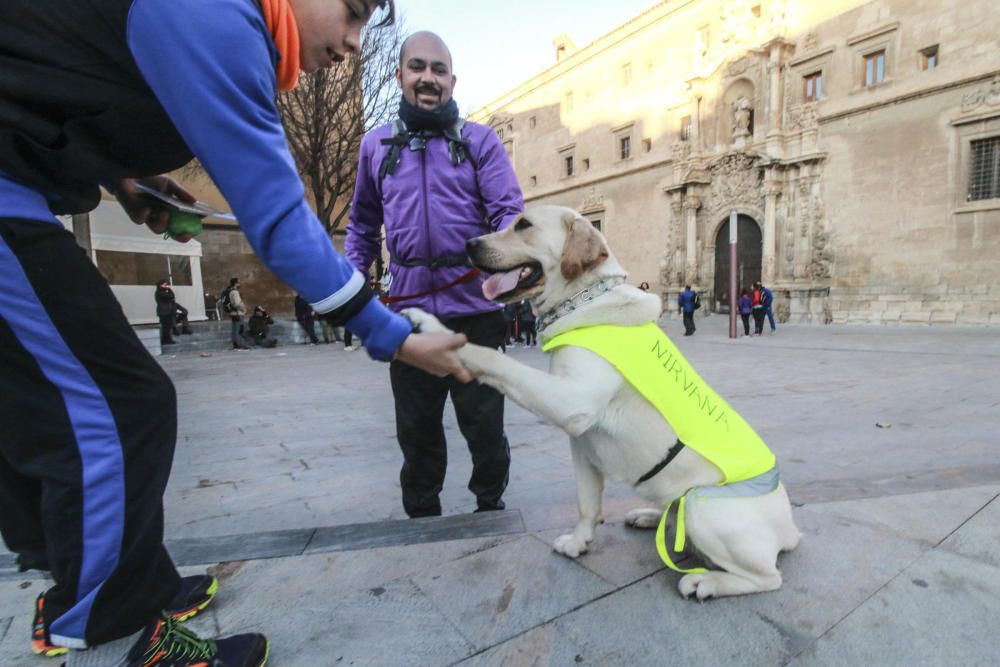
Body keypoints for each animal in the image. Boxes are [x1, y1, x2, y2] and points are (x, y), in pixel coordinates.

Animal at [402, 205, 800, 600]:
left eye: (524, 225)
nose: (468, 244)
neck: (585, 299)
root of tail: (791, 531)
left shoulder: (569, 403)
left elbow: (492, 358)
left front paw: (444, 338)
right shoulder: (582, 443)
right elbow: (587, 503)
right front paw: (578, 543)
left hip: (702, 505)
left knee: (768, 577)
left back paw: (706, 582)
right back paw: (651, 516)